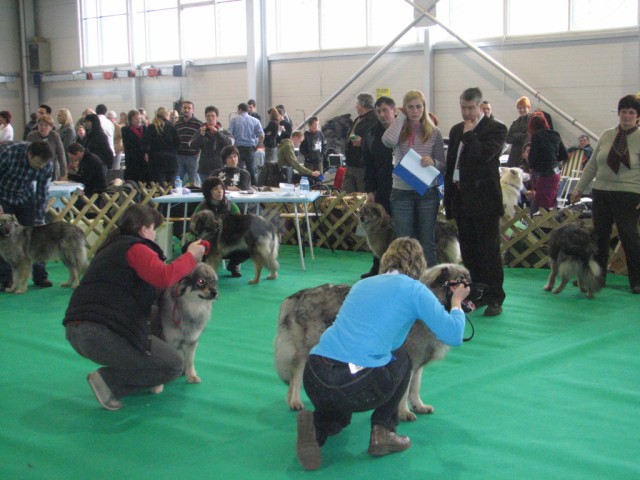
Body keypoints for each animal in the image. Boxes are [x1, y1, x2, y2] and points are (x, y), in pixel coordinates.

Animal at [151, 262, 219, 394]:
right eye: (201, 281)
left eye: (213, 281)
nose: (215, 292)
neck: (190, 308)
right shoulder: (167, 340)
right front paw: (158, 385)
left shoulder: (191, 341)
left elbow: (189, 360)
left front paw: (191, 375)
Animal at [272, 262, 482, 420]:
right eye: (462, 282)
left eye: (469, 279)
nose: (481, 290)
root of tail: (299, 295)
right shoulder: (409, 360)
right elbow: (405, 390)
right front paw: (404, 412)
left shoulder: (418, 362)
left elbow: (415, 387)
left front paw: (419, 406)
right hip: (308, 347)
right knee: (296, 375)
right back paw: (295, 401)